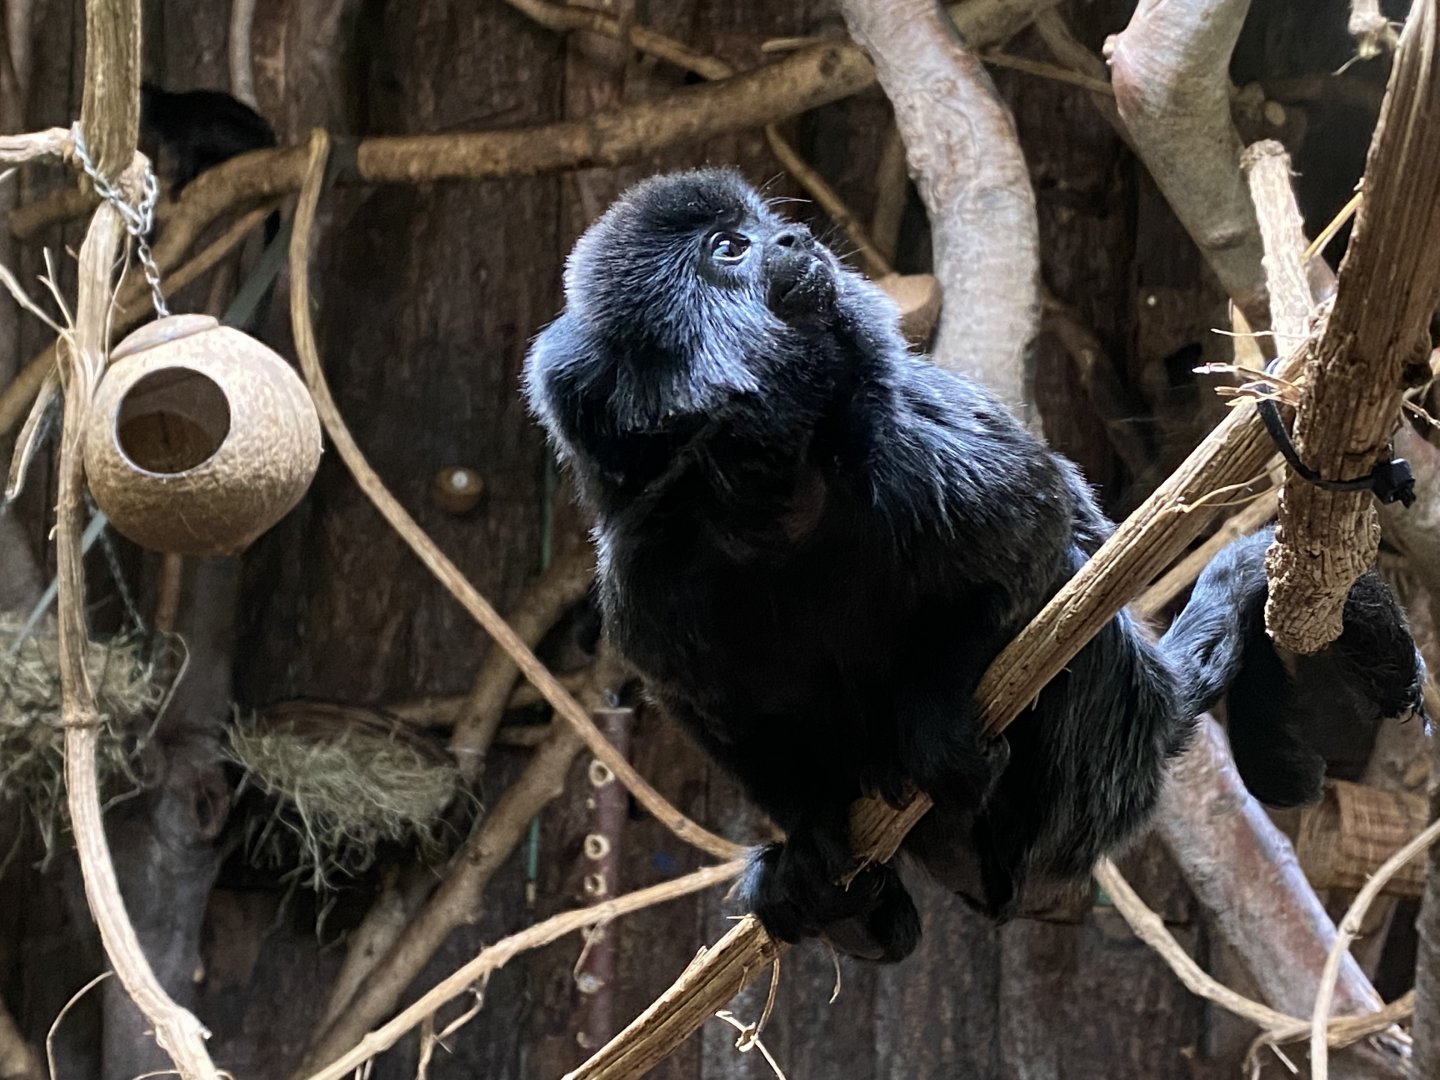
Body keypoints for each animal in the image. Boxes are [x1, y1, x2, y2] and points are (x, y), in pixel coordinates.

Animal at [522, 168, 1426, 962]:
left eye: (763, 227)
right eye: (729, 247)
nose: (795, 237)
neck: (774, 497)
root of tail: (1150, 711)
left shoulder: (919, 452)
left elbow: (1037, 554)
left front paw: (937, 723)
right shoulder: (647, 575)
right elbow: (721, 711)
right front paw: (814, 837)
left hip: (1094, 759)